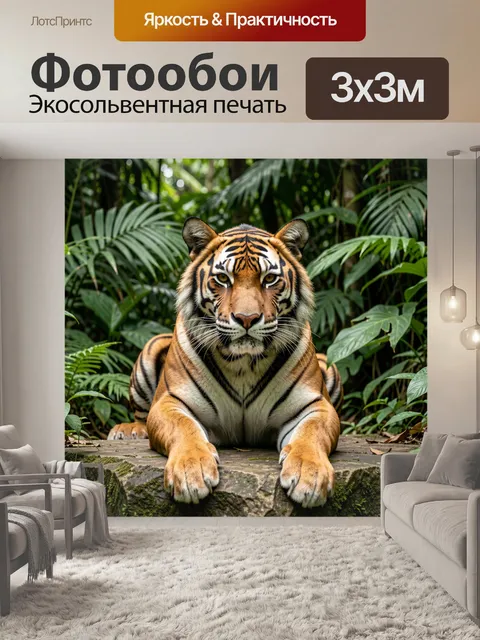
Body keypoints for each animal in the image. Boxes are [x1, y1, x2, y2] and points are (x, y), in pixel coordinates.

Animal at [108, 218, 343, 509]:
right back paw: (127, 431)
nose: (246, 318)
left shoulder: (315, 405)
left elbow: (311, 434)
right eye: (223, 279)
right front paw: (191, 474)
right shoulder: (170, 402)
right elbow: (184, 428)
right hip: (149, 351)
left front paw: (309, 477)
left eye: (269, 279)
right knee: (140, 416)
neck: (245, 362)